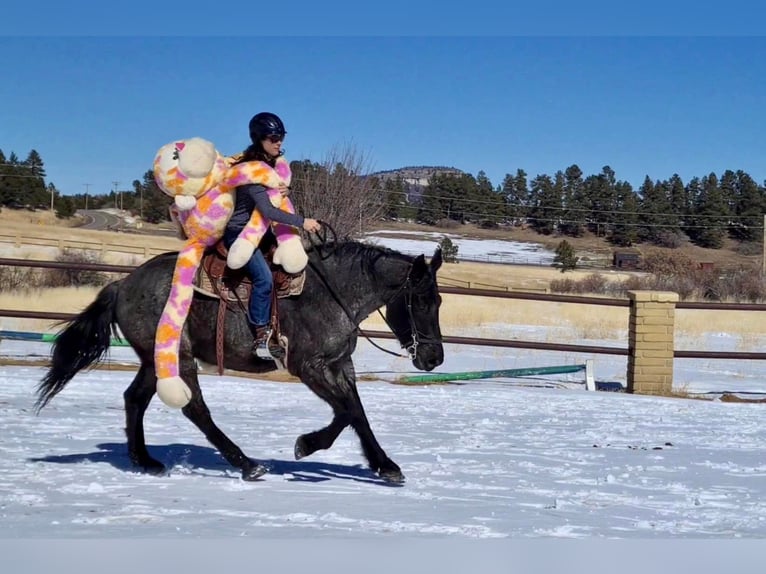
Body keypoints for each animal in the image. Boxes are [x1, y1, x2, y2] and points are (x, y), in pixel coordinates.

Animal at [34, 240, 444, 486]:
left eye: (438, 301)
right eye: (422, 301)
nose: (434, 358)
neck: (333, 293)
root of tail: (123, 285)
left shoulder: (341, 364)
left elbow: (357, 412)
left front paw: (385, 465)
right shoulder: (308, 366)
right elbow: (345, 411)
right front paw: (306, 445)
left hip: (155, 362)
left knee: (135, 398)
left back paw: (144, 460)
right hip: (179, 358)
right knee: (195, 409)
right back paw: (247, 464)